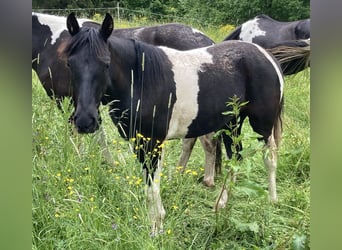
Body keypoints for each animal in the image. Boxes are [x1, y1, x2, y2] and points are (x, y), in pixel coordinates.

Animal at [31, 11, 219, 186]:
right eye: (69, 64)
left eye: (107, 65)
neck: (50, 42)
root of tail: (207, 42)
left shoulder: (70, 102)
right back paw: (179, 175)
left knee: (206, 142)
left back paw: (205, 179)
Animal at [62, 12, 284, 235]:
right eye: (70, 64)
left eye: (106, 64)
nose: (85, 121)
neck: (140, 80)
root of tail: (267, 57)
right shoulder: (139, 143)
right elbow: (149, 185)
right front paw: (156, 223)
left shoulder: (153, 142)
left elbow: (152, 187)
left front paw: (156, 228)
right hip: (232, 124)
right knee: (235, 158)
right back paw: (221, 204)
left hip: (262, 126)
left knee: (270, 158)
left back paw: (272, 200)